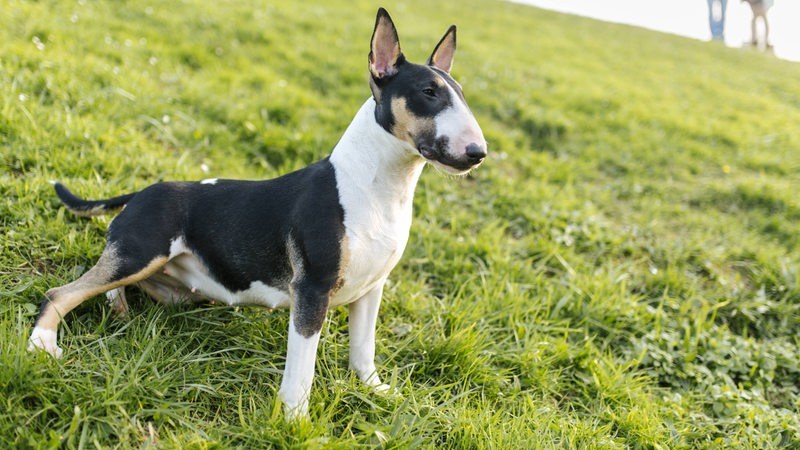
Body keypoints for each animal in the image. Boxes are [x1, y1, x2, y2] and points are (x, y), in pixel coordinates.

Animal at [28, 7, 484, 418]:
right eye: (428, 92)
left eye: (461, 93)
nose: (478, 153)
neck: (377, 187)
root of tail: (142, 190)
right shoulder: (311, 290)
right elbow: (302, 368)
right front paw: (294, 420)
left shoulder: (373, 287)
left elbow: (363, 349)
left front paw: (376, 391)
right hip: (142, 251)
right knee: (63, 292)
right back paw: (42, 343)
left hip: (166, 281)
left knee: (109, 284)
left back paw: (118, 308)